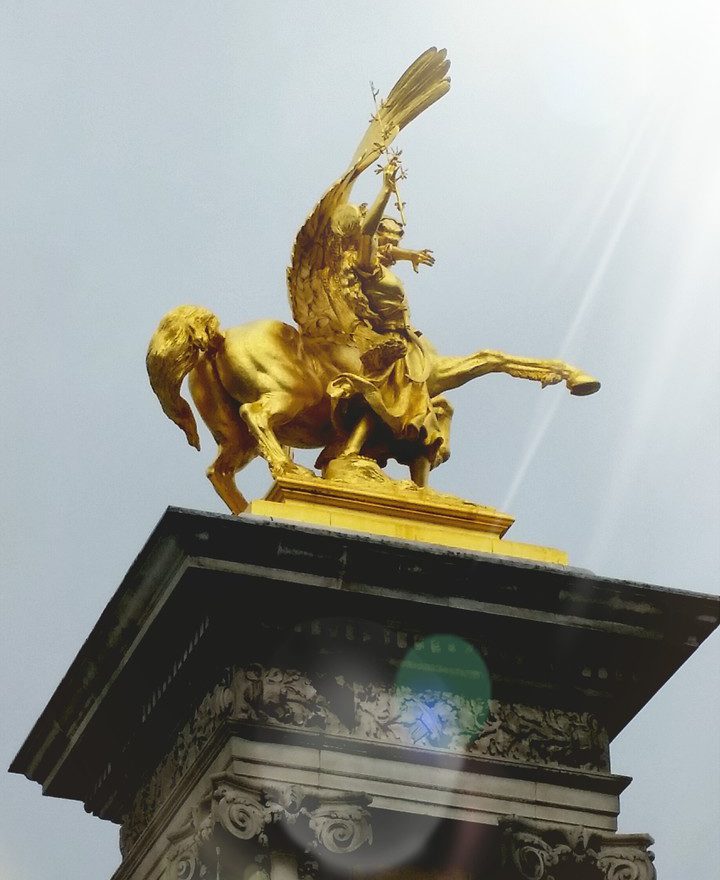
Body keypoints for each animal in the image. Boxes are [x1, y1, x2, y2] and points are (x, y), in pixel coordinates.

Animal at [145, 48, 596, 512]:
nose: (393, 243)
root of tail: (216, 337)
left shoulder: (421, 380)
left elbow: (470, 378)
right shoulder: (416, 377)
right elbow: (483, 364)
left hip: (230, 429)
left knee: (219, 467)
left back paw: (257, 502)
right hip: (287, 396)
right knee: (256, 417)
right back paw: (291, 474)